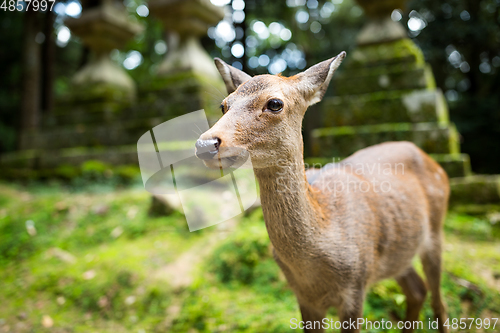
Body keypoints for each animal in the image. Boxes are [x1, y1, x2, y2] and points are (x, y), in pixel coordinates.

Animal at [194, 50, 450, 330]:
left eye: (275, 103)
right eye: (224, 105)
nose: (205, 144)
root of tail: (432, 161)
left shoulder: (356, 285)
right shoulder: (304, 298)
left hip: (436, 231)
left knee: (439, 301)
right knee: (417, 290)